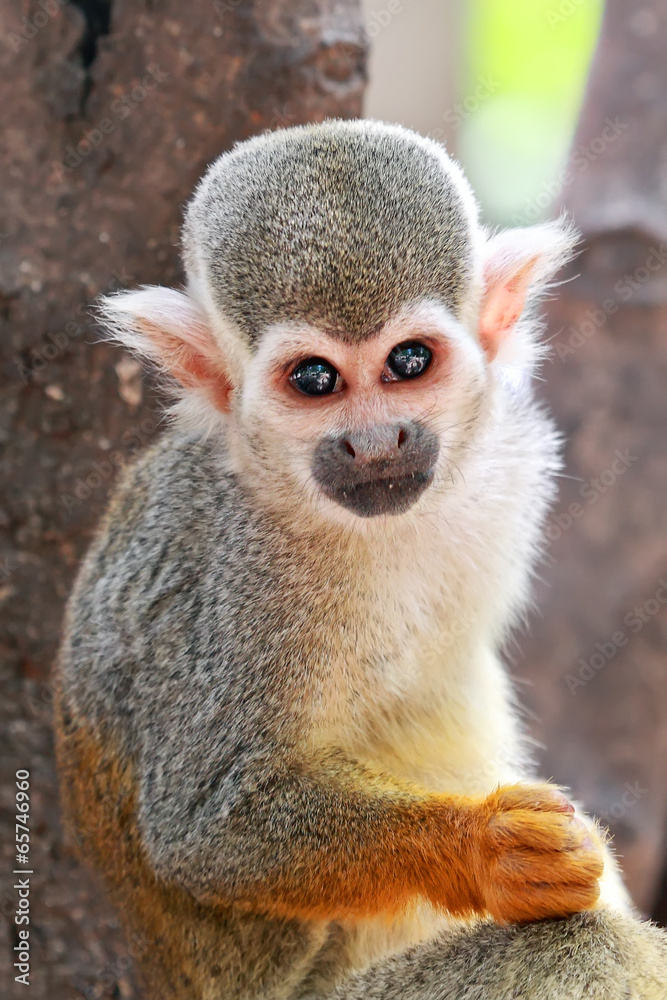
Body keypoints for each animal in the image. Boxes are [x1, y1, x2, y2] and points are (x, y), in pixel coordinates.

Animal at [53, 119, 667, 999]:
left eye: (408, 362)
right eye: (314, 379)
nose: (375, 443)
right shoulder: (244, 578)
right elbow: (204, 825)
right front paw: (482, 848)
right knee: (585, 947)